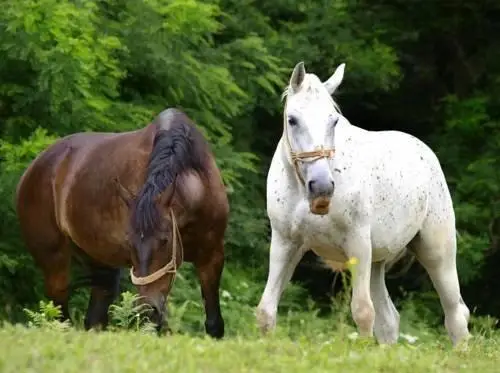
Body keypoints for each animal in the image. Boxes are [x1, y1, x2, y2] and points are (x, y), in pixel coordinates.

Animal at [15, 107, 230, 338]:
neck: (196, 182)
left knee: (95, 318)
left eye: (165, 240)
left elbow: (214, 324)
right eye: (130, 244)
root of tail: (32, 169)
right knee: (61, 316)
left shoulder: (211, 255)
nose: (147, 308)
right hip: (54, 264)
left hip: (100, 263)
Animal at [256, 61, 470, 346]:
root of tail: (426, 153)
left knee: (456, 315)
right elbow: (266, 310)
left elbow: (363, 312)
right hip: (377, 263)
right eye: (292, 119)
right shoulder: (285, 243)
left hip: (437, 253)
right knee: (389, 321)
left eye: (334, 120)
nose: (322, 186)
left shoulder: (358, 243)